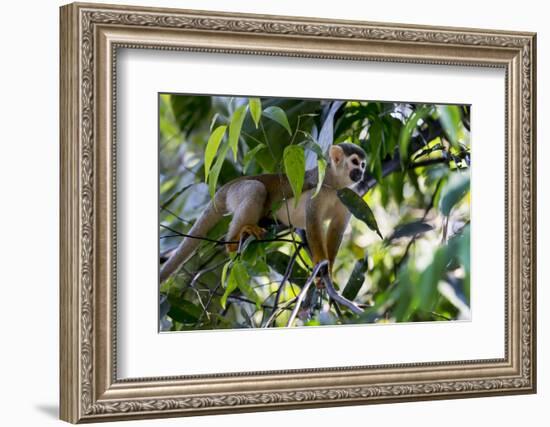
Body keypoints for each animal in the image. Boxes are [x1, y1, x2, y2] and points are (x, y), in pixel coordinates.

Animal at [160, 143, 366, 284]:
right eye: (355, 162)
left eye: (363, 164)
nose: (361, 173)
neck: (336, 184)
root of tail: (227, 186)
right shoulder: (319, 185)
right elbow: (313, 221)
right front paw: (320, 262)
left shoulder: (350, 196)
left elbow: (337, 228)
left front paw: (328, 268)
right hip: (237, 191)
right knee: (256, 189)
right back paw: (234, 241)